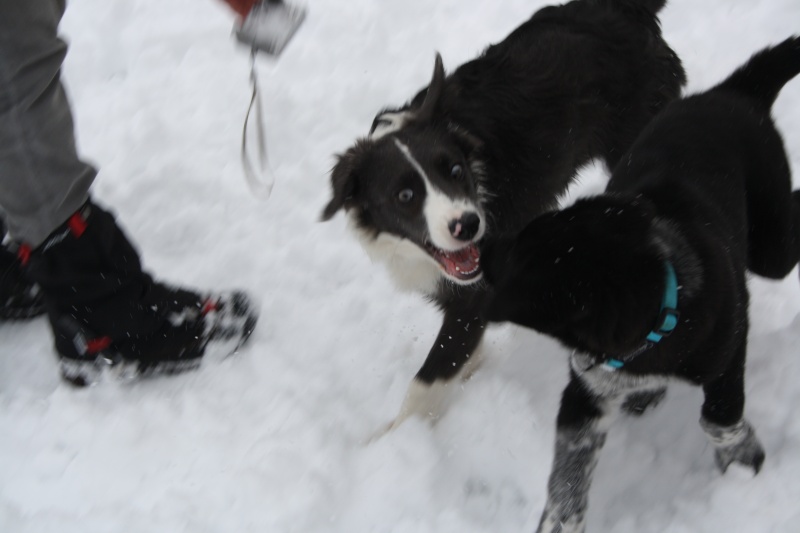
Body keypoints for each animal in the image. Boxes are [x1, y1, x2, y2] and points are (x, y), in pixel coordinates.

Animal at [482, 37, 800, 532]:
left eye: (514, 255)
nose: (479, 244)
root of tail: (735, 90)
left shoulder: (730, 345)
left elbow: (718, 414)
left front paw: (741, 458)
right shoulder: (584, 397)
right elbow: (567, 476)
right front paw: (558, 521)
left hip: (772, 247)